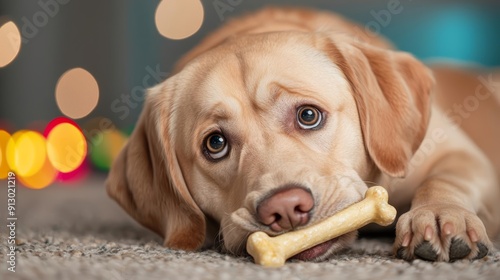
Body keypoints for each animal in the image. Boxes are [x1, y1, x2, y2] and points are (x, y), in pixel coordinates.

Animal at [106, 7, 500, 262]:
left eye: (308, 115)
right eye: (215, 144)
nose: (284, 208)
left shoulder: (458, 154)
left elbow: (443, 180)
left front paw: (439, 215)